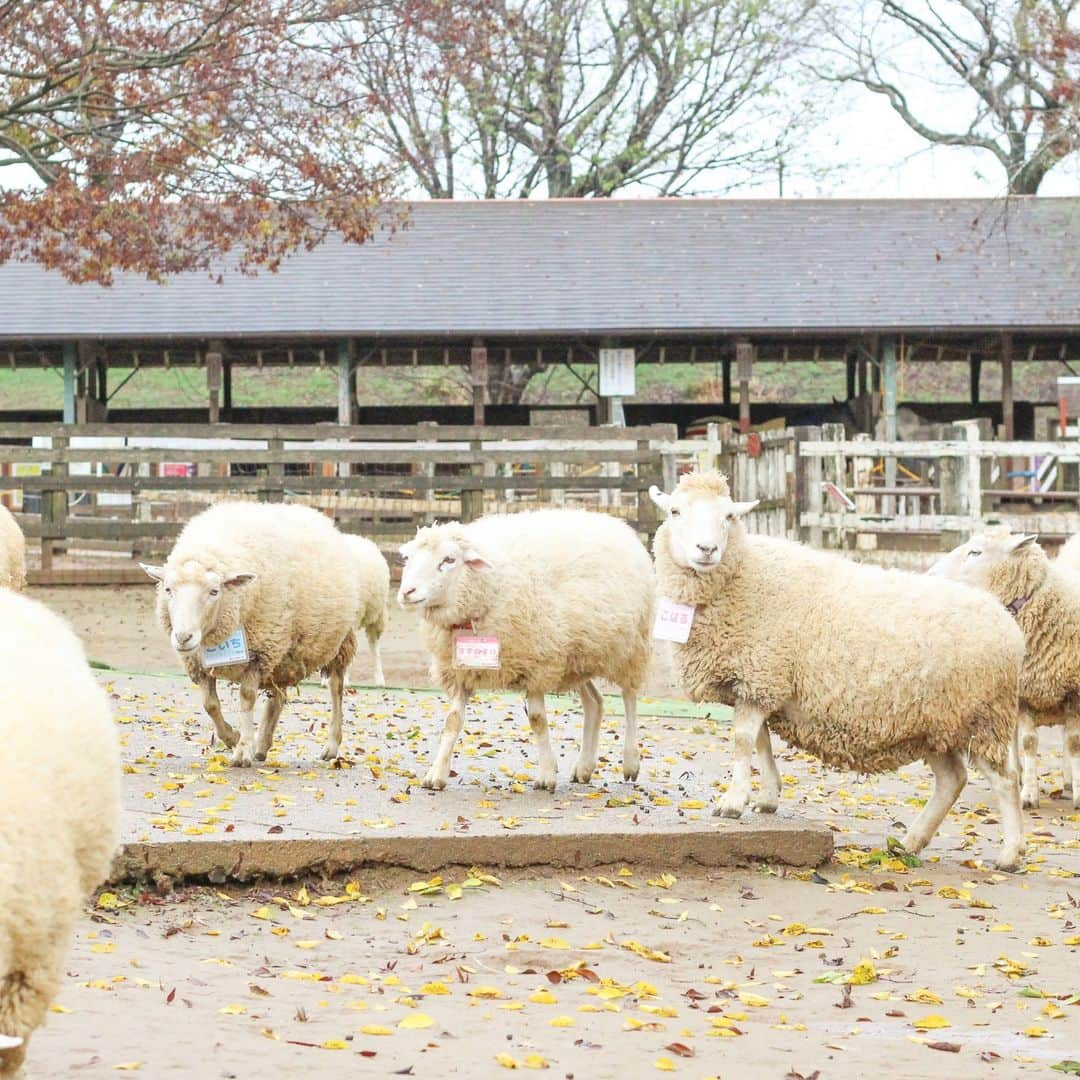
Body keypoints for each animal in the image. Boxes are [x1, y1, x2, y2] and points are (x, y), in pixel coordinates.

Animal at [137, 503, 358, 768]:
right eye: (168, 589)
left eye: (214, 591)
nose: (183, 637)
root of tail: (317, 515)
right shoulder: (200, 663)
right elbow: (210, 705)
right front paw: (233, 738)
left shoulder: (258, 654)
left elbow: (246, 696)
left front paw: (242, 750)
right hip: (285, 652)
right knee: (277, 695)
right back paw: (262, 745)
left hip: (336, 641)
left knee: (336, 689)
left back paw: (331, 746)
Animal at [395, 505, 648, 794]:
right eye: (408, 558)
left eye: (449, 560)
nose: (407, 592)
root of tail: (615, 522)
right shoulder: (461, 670)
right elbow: (453, 721)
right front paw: (436, 774)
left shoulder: (538, 663)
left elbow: (538, 720)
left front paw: (547, 775)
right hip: (577, 655)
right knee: (595, 703)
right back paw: (584, 768)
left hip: (631, 647)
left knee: (630, 698)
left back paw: (630, 761)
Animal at [643, 470, 1023, 868]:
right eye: (675, 511)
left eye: (729, 516)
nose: (707, 550)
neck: (744, 576)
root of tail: (1006, 623)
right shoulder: (759, 682)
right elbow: (761, 739)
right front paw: (768, 796)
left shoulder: (762, 674)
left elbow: (743, 740)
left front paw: (733, 802)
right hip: (934, 722)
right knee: (953, 779)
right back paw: (910, 843)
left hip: (985, 716)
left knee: (1006, 780)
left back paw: (1010, 853)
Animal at [933, 522, 1075, 812]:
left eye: (975, 552)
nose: (931, 573)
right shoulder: (1024, 694)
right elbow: (1029, 743)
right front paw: (1029, 794)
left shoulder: (1073, 691)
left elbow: (1073, 743)